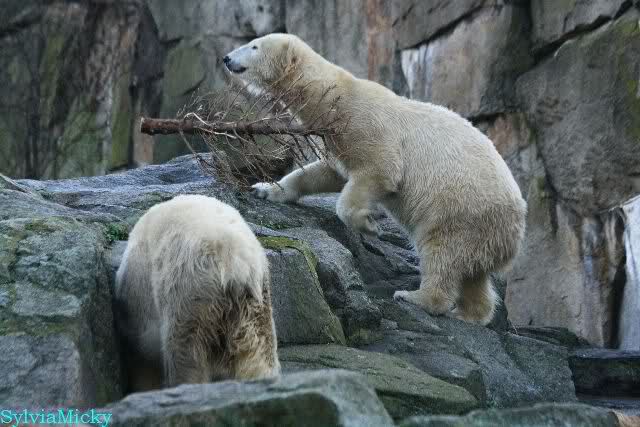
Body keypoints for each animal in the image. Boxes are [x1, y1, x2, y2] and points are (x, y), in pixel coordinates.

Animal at [114, 194, 280, 391]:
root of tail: (236, 263)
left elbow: (144, 351)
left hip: (190, 288)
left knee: (184, 350)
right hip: (257, 303)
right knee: (258, 352)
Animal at [222, 34, 527, 326]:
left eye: (254, 45)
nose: (226, 58)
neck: (335, 96)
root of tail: (515, 228)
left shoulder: (366, 124)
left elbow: (379, 171)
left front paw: (369, 226)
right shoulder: (336, 138)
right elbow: (325, 172)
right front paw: (265, 189)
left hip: (460, 209)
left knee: (442, 252)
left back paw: (417, 297)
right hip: (481, 230)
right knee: (474, 273)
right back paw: (469, 313)